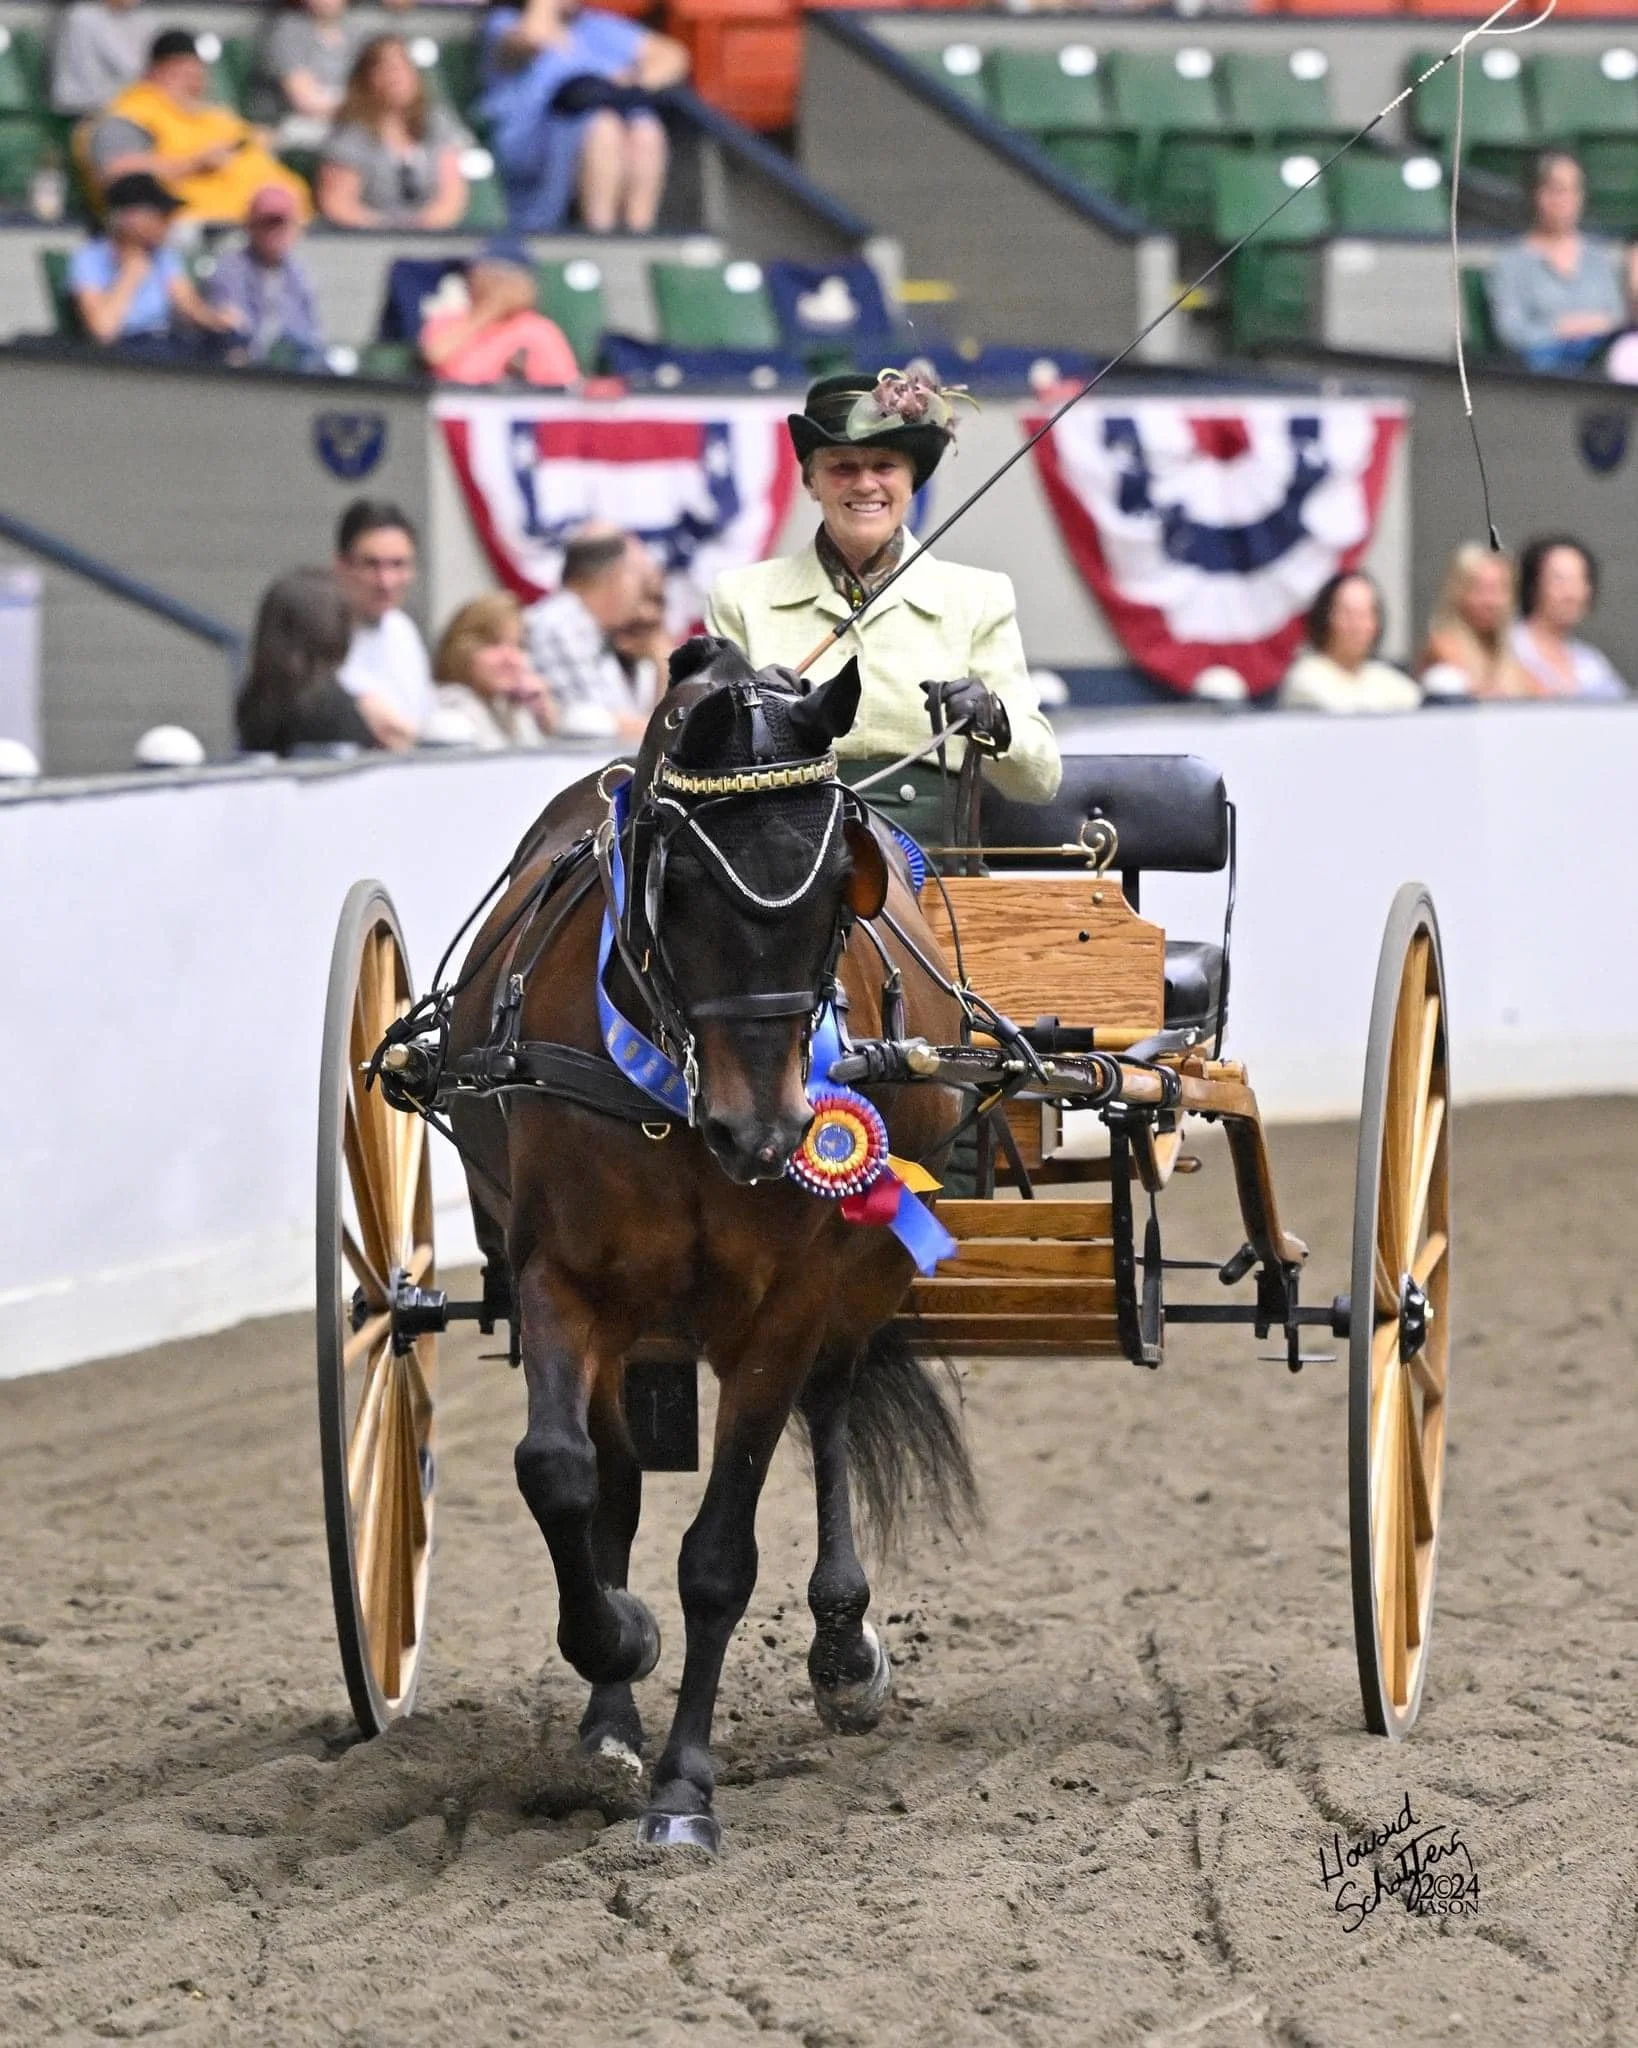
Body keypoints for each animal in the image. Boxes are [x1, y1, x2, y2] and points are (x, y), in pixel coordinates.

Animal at [446, 635, 977, 1850]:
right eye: (677, 884)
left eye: (836, 892)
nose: (765, 1133)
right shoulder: (560, 1276)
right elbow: (561, 1473)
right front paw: (618, 1645)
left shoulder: (785, 1305)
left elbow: (720, 1558)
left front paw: (685, 1787)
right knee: (614, 1475)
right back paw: (609, 1713)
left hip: (862, 1271)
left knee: (832, 1406)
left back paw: (843, 1648)